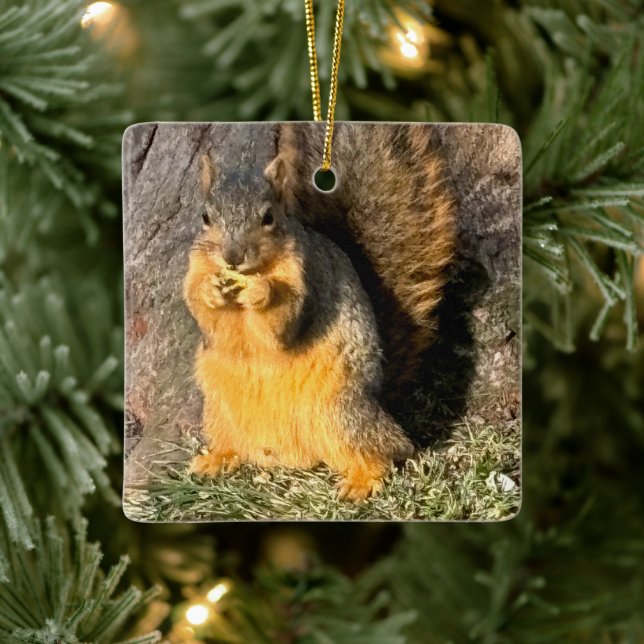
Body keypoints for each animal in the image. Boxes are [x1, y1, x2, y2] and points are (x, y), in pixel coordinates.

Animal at [184, 150, 413, 501]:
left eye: (268, 217)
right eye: (205, 217)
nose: (232, 257)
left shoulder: (306, 277)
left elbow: (283, 323)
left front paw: (262, 292)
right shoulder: (196, 267)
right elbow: (204, 313)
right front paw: (210, 291)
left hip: (338, 412)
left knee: (379, 453)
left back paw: (362, 481)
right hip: (218, 410)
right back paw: (217, 459)